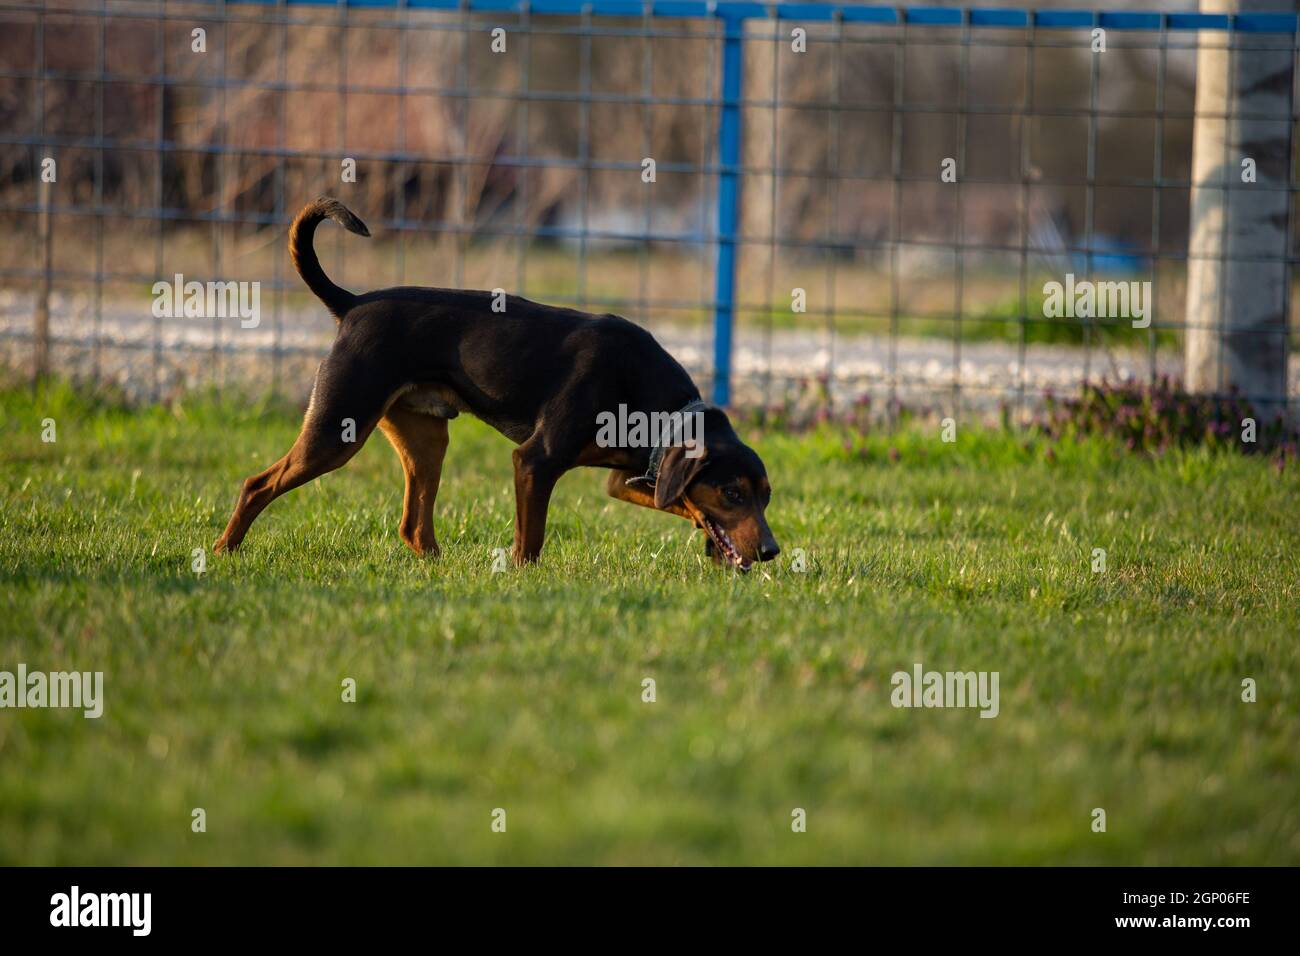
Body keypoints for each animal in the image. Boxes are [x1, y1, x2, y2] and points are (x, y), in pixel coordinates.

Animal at [215, 195, 780, 567]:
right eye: (733, 493)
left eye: (767, 496)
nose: (773, 551)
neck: (654, 404)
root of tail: (352, 304)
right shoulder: (534, 462)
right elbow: (531, 541)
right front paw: (524, 577)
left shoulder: (629, 477)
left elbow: (680, 502)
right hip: (337, 430)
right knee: (256, 484)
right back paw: (225, 550)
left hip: (425, 438)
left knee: (412, 527)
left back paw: (439, 568)